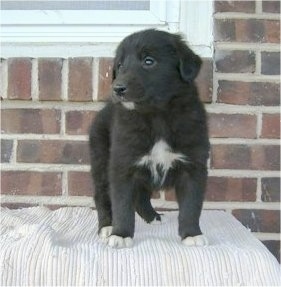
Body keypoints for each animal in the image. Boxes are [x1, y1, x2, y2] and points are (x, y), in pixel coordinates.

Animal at [88, 29, 209, 250]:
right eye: (120, 65)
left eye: (149, 61)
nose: (117, 88)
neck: (156, 116)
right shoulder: (122, 165)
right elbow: (122, 204)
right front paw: (121, 234)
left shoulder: (193, 166)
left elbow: (191, 205)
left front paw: (192, 234)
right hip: (100, 158)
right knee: (102, 194)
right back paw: (107, 226)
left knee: (141, 195)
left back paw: (152, 216)